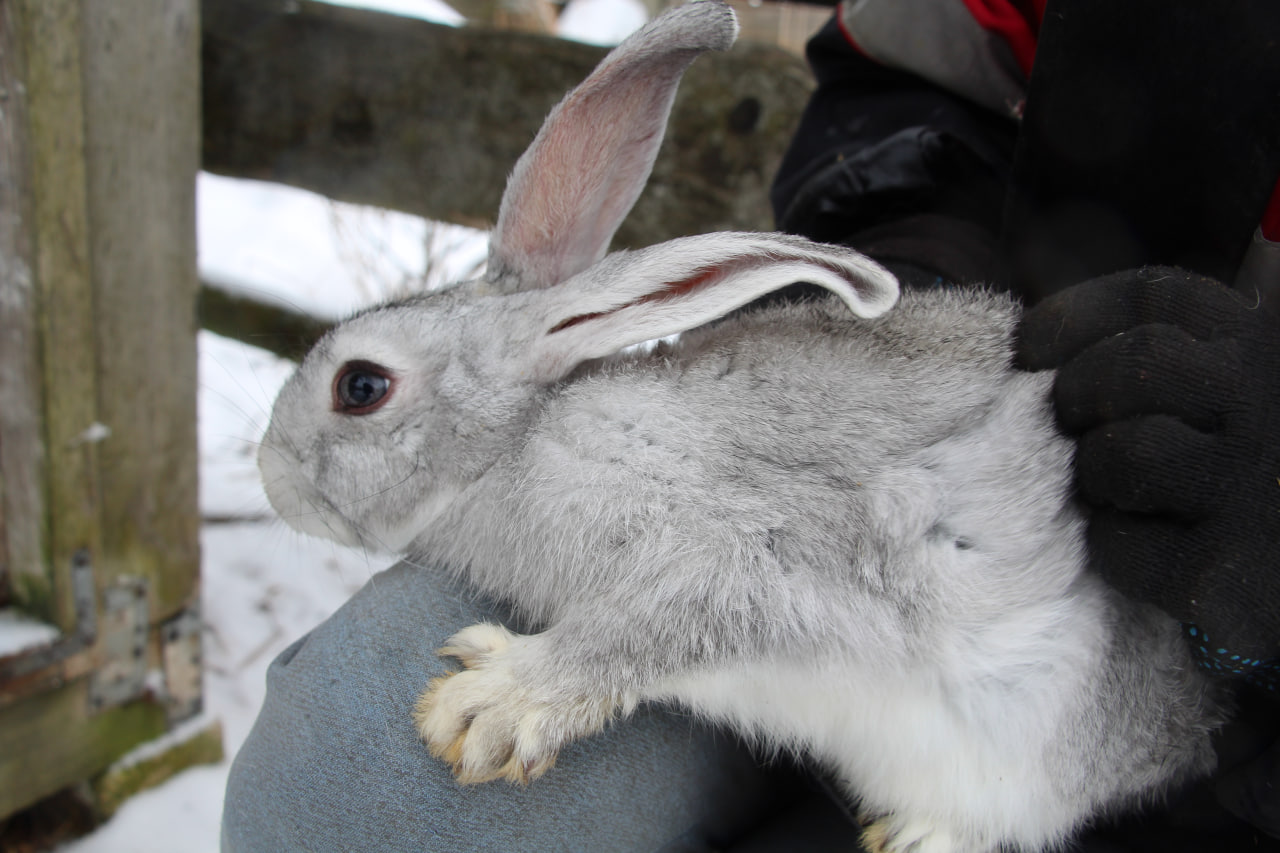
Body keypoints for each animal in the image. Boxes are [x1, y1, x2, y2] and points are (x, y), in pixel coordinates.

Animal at [254, 3, 1223, 845]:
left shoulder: (752, 557)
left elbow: (650, 629)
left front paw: (488, 702)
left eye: (361, 386)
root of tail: (1193, 722)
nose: (267, 471)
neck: (523, 440)